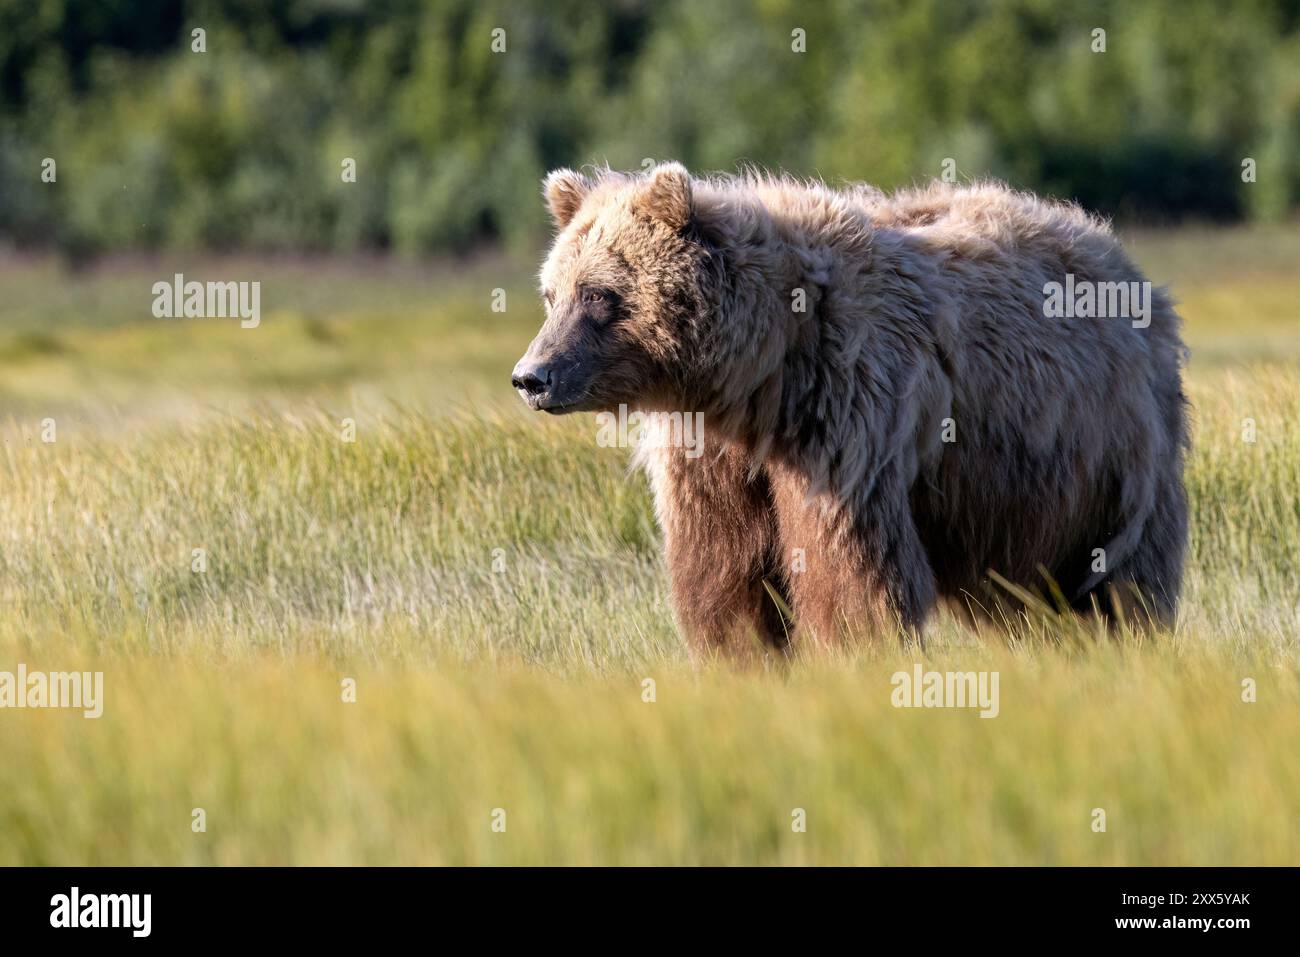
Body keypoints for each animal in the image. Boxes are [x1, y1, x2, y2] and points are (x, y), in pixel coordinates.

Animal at [506, 164, 1190, 655]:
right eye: (551, 293)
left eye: (599, 294)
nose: (531, 377)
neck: (759, 381)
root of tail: (1119, 255)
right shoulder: (712, 453)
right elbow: (725, 569)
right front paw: (741, 654)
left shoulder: (845, 412)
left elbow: (849, 565)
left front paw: (857, 649)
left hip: (1109, 450)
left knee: (1122, 573)